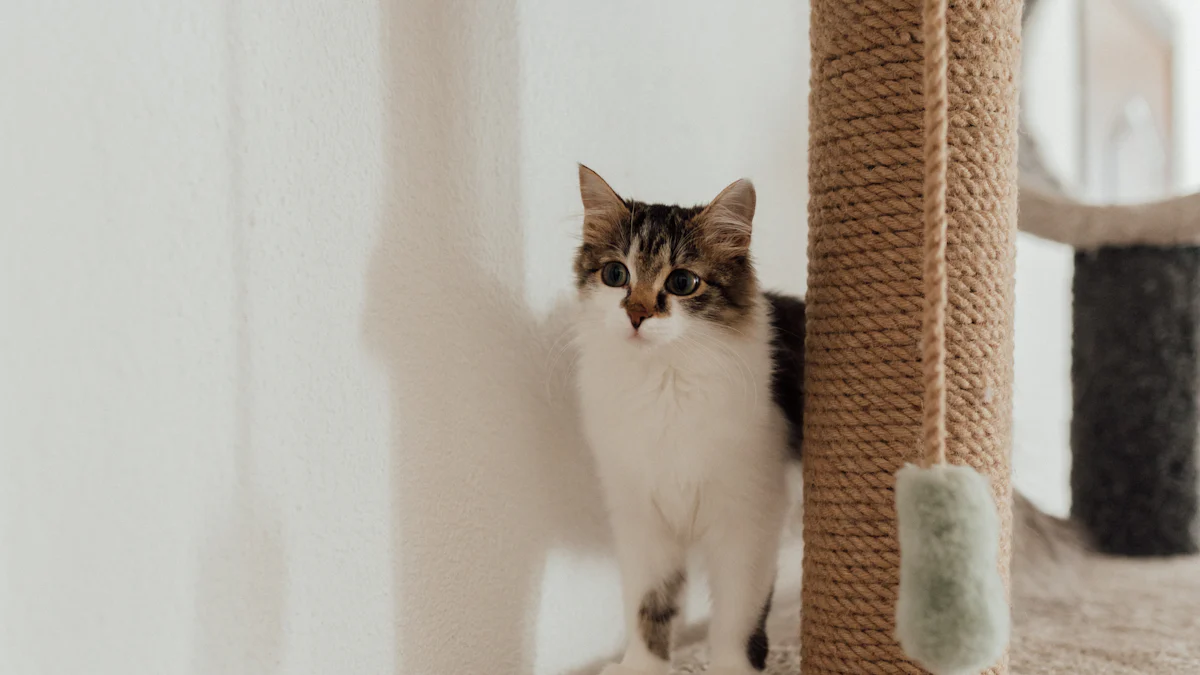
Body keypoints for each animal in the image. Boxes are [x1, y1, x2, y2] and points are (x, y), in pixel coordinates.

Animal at [573, 164, 806, 672]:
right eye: (615, 274)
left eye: (682, 282)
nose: (637, 313)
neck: (666, 384)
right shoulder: (641, 517)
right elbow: (649, 606)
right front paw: (639, 667)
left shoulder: (751, 517)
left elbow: (738, 617)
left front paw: (731, 668)